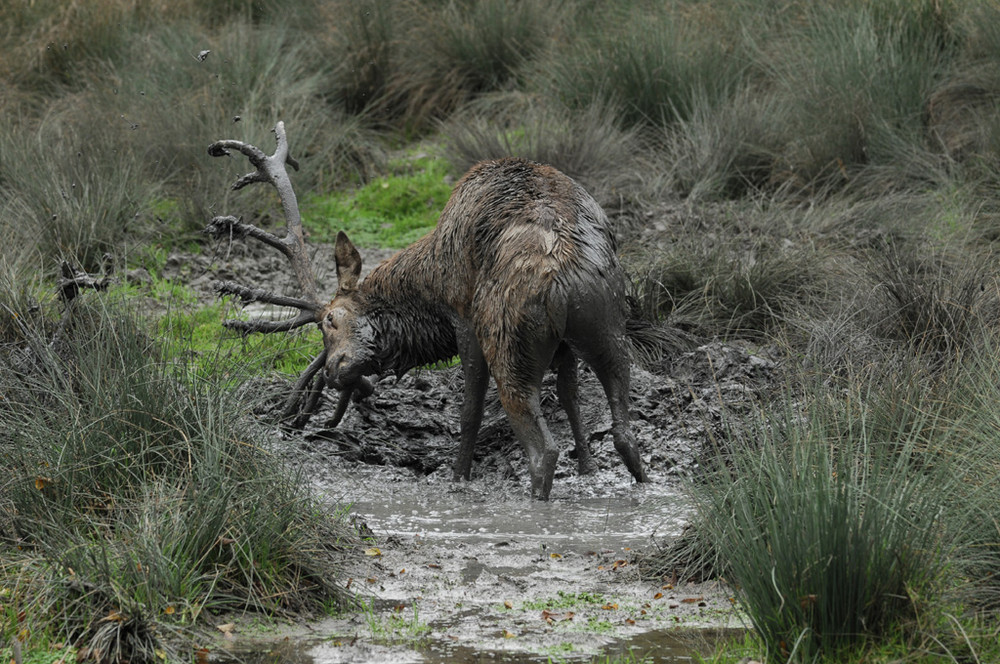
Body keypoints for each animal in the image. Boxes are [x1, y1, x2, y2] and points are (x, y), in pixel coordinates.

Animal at [206, 123, 648, 498]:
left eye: (329, 321)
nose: (332, 370)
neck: (429, 282)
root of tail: (563, 283)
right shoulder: (565, 348)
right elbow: (572, 398)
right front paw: (588, 467)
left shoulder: (463, 318)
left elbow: (469, 411)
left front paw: (458, 476)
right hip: (607, 325)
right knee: (625, 434)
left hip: (509, 336)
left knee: (544, 450)